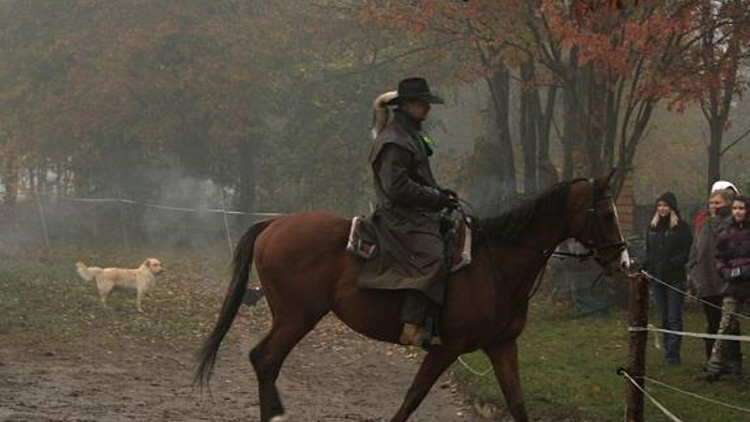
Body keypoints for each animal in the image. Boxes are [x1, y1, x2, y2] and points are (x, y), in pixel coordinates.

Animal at [194, 173, 628, 420]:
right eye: (607, 214)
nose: (622, 260)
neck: (495, 265)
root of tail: (273, 225)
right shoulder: (446, 347)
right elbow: (413, 397)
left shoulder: (502, 345)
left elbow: (517, 405)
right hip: (297, 317)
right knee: (265, 360)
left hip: (294, 318)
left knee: (263, 361)